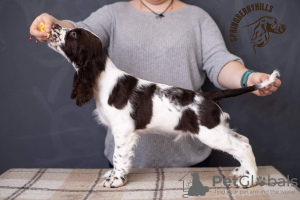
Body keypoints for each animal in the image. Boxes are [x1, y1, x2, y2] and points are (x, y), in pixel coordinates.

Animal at [47, 24, 278, 188]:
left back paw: (250, 180)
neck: (102, 77)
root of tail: (206, 95)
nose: (53, 25)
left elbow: (118, 156)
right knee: (243, 140)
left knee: (243, 147)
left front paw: (116, 181)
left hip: (211, 133)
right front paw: (113, 176)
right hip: (218, 129)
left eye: (73, 34)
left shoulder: (123, 131)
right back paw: (242, 171)